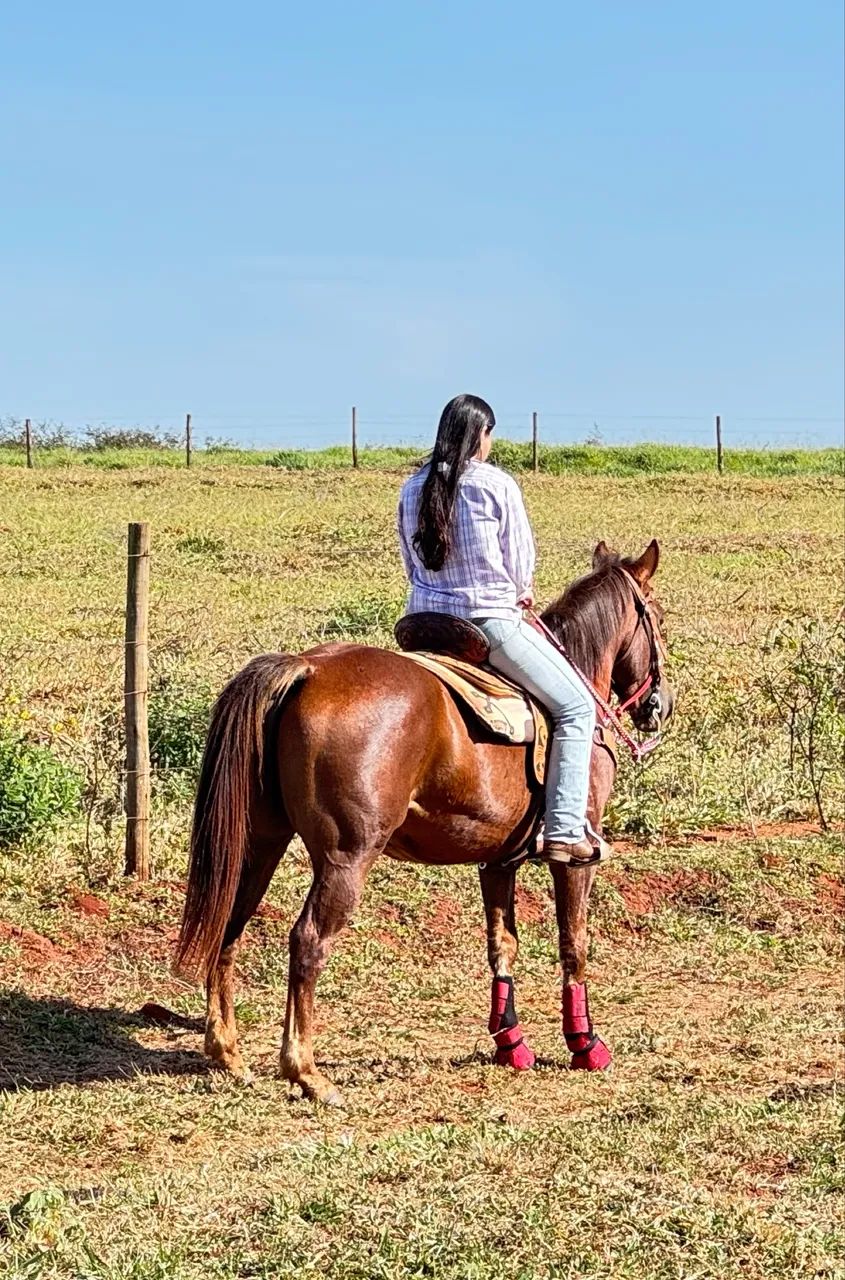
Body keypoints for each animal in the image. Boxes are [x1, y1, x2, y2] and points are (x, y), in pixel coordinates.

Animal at [175, 539, 672, 1103]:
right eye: (656, 617)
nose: (660, 706)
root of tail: (307, 669)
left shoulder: (497, 862)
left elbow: (502, 945)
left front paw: (511, 1044)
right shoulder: (573, 858)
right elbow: (575, 945)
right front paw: (585, 1045)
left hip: (261, 841)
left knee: (230, 923)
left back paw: (227, 1052)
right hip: (347, 857)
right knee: (307, 941)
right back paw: (305, 1071)